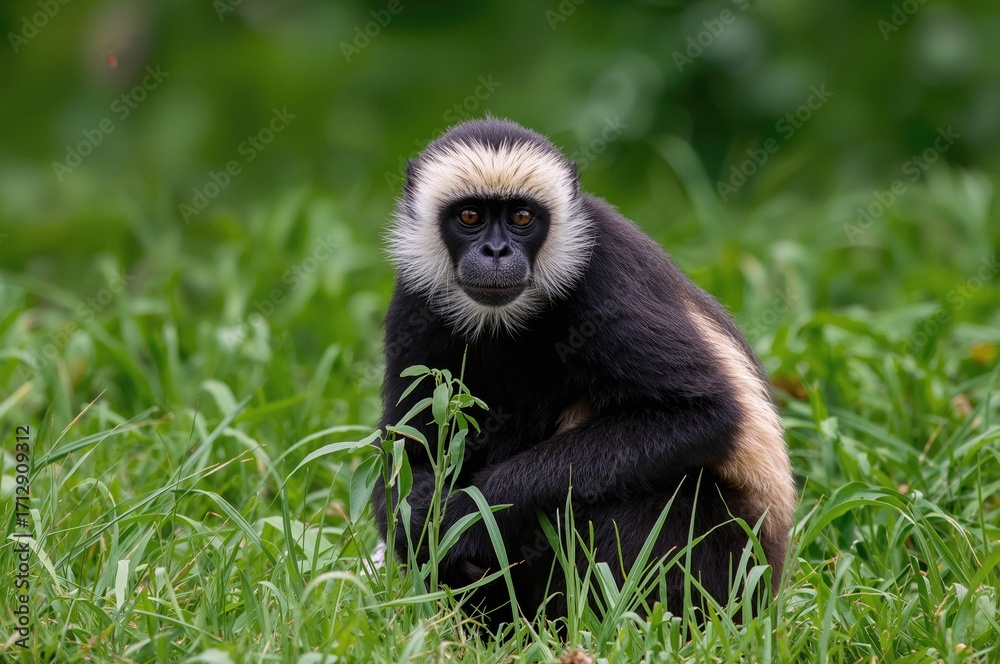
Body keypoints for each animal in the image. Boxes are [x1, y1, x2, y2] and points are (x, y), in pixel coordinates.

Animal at [371, 117, 797, 630]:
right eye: (470, 217)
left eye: (521, 218)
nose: (496, 251)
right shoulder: (415, 296)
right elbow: (409, 448)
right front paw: (419, 523)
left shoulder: (602, 270)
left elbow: (705, 413)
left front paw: (471, 513)